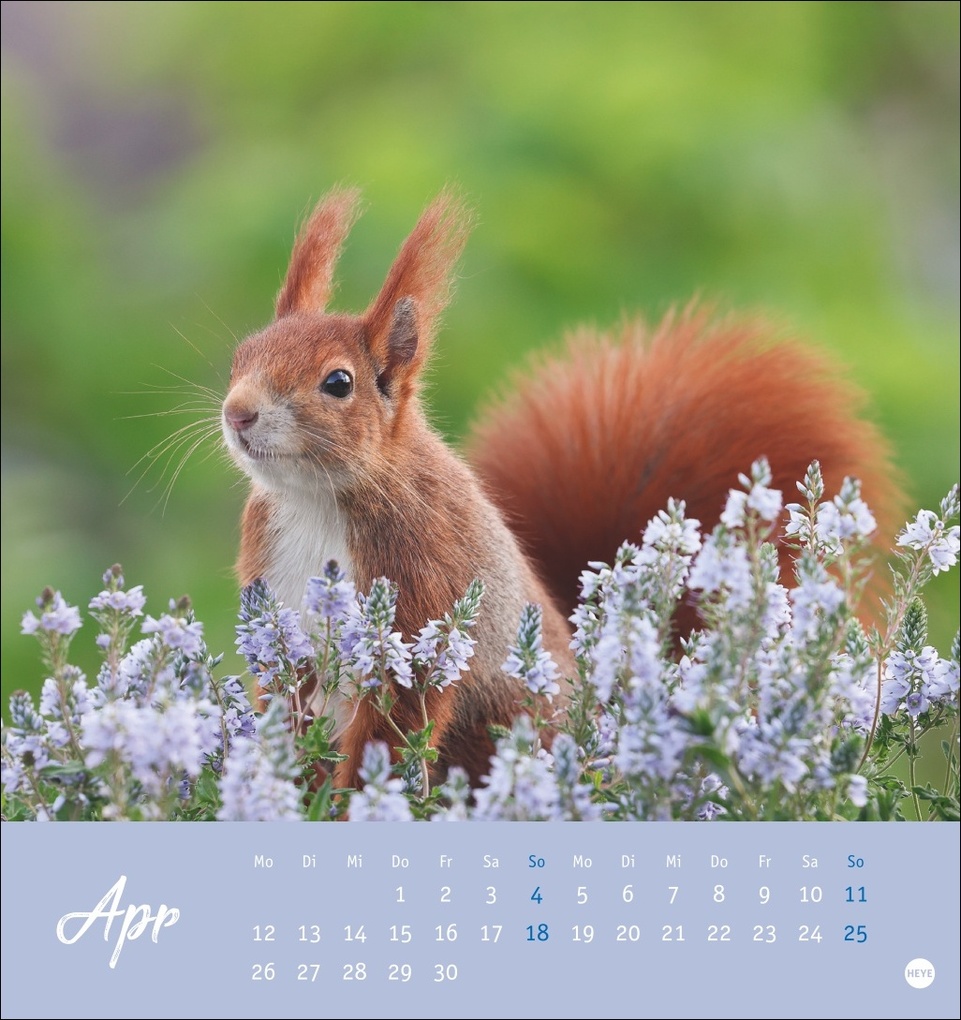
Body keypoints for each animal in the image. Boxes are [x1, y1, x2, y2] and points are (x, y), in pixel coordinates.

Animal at [221, 187, 901, 790]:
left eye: (338, 383)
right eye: (241, 354)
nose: (238, 412)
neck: (316, 498)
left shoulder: (424, 584)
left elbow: (397, 720)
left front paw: (349, 800)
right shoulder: (277, 597)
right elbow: (285, 691)